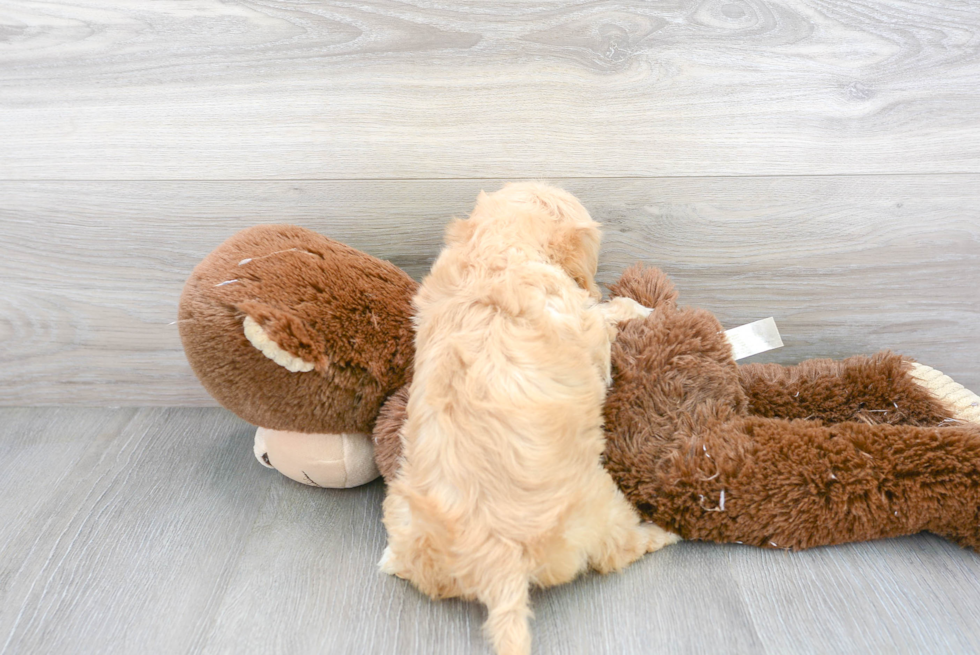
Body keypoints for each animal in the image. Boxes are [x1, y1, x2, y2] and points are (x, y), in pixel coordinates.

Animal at [380, 183, 680, 655]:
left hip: (405, 520)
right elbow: (606, 313)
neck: (493, 251)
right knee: (620, 550)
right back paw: (663, 533)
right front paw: (640, 309)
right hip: (600, 507)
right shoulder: (586, 323)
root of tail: (496, 565)